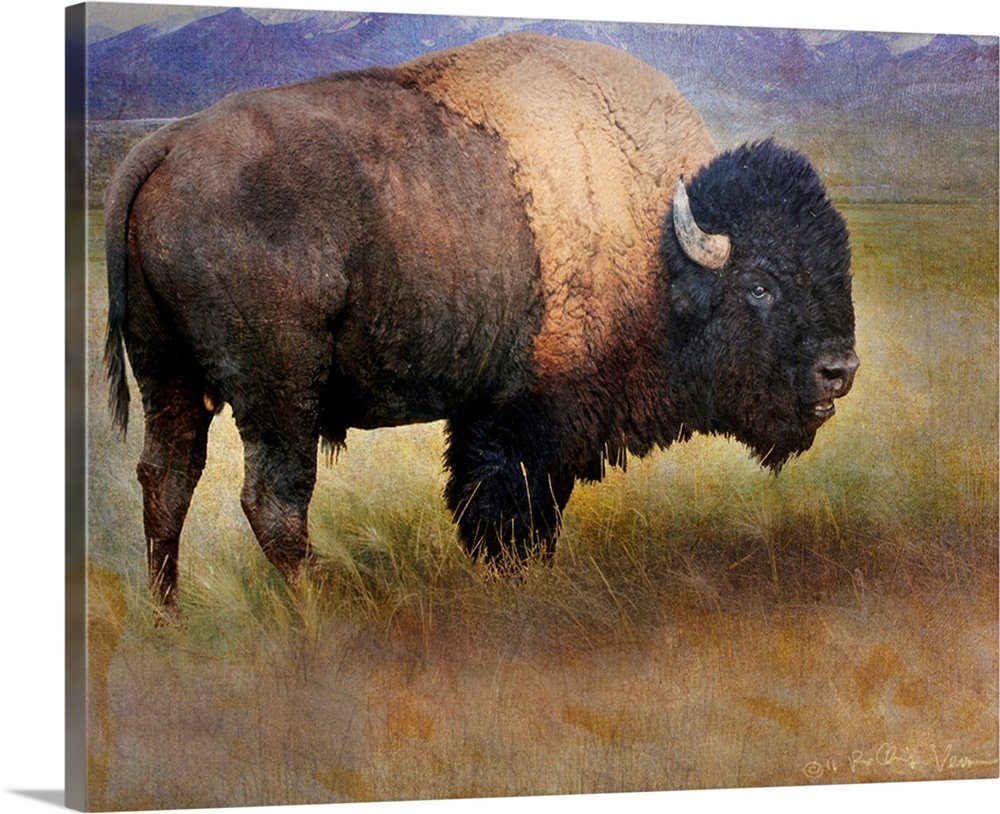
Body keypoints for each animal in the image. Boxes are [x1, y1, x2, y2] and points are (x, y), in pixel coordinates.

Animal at [104, 33, 858, 613]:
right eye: (759, 286)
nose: (840, 370)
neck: (656, 247)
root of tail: (165, 147)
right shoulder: (531, 418)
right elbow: (512, 509)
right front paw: (514, 580)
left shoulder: (488, 413)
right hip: (278, 391)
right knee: (273, 501)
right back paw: (325, 611)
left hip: (169, 375)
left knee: (167, 483)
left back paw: (169, 617)